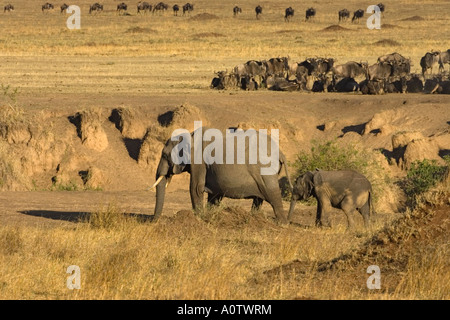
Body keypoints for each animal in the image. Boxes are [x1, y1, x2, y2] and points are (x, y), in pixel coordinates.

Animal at [149, 127, 294, 222]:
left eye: (164, 155)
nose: (154, 221)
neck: (189, 135)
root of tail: (281, 153)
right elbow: (214, 195)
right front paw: (210, 217)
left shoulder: (199, 160)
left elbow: (195, 188)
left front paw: (199, 218)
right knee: (259, 199)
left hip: (265, 172)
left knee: (273, 195)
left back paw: (282, 224)